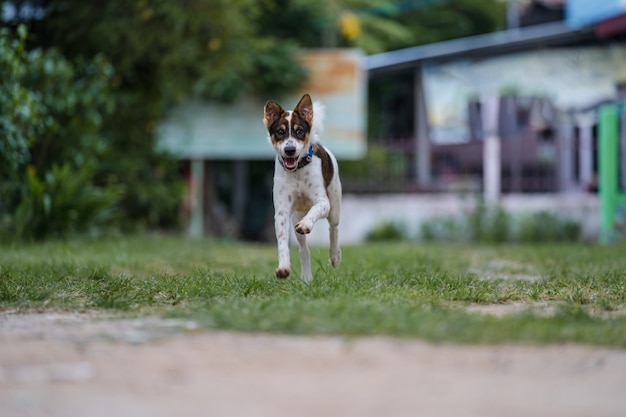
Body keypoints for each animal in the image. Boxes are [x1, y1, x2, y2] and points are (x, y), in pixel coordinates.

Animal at [264, 93, 342, 282]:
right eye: (280, 132)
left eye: (299, 131)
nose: (290, 150)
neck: (297, 170)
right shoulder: (282, 211)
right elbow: (282, 242)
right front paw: (283, 268)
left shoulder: (323, 202)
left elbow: (315, 210)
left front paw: (307, 224)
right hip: (295, 217)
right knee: (303, 249)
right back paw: (306, 278)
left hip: (335, 205)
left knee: (333, 229)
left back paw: (335, 256)